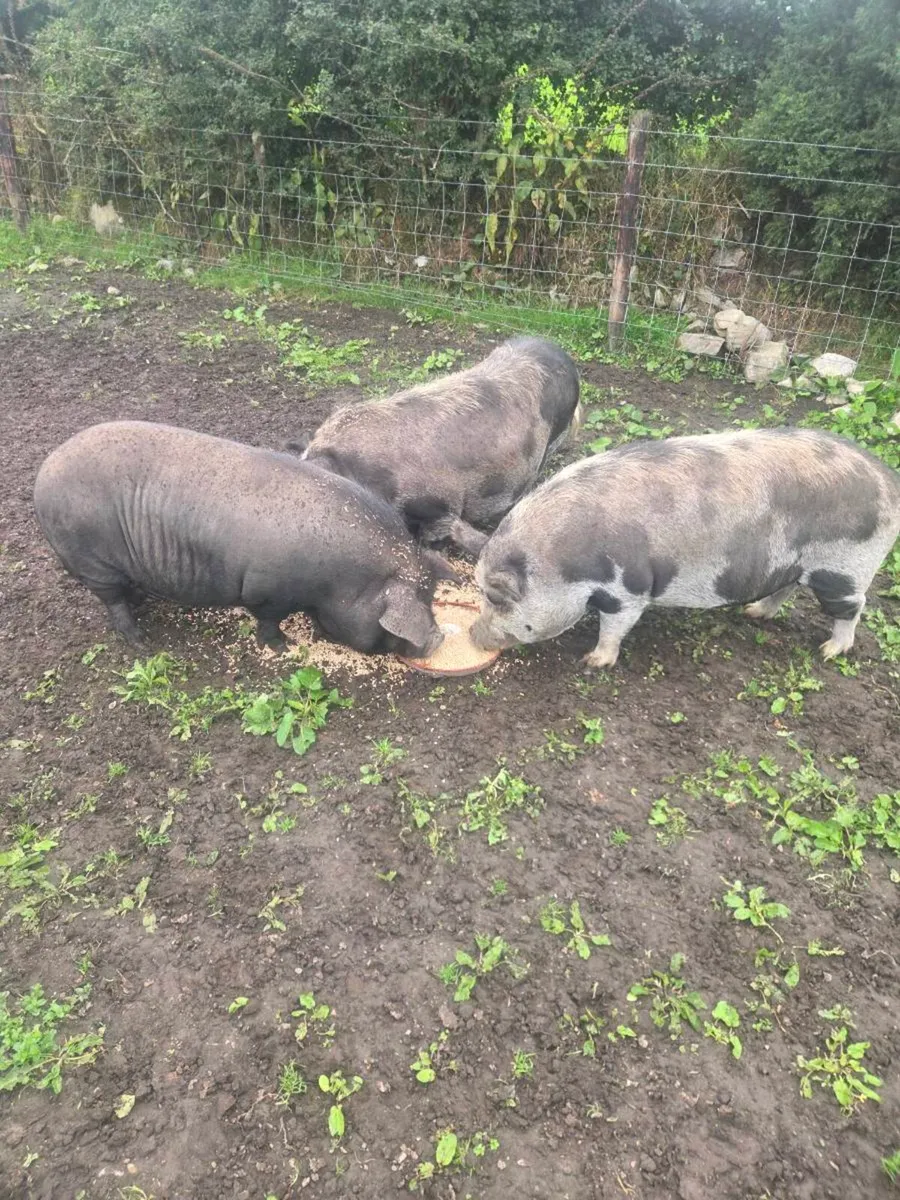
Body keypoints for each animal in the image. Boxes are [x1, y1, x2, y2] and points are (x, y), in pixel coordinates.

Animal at [33, 420, 452, 657]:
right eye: (419, 599)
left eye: (431, 594)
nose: (437, 639)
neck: (342, 581)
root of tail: (44, 472)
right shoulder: (266, 591)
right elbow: (269, 621)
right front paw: (283, 647)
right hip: (91, 559)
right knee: (112, 601)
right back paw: (140, 642)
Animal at [470, 428, 900, 668]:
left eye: (496, 598)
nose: (474, 633)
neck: (564, 563)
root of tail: (887, 479)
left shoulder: (629, 588)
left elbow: (615, 626)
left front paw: (592, 662)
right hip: (795, 564)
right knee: (786, 588)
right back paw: (754, 613)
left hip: (844, 567)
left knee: (853, 607)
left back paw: (829, 651)